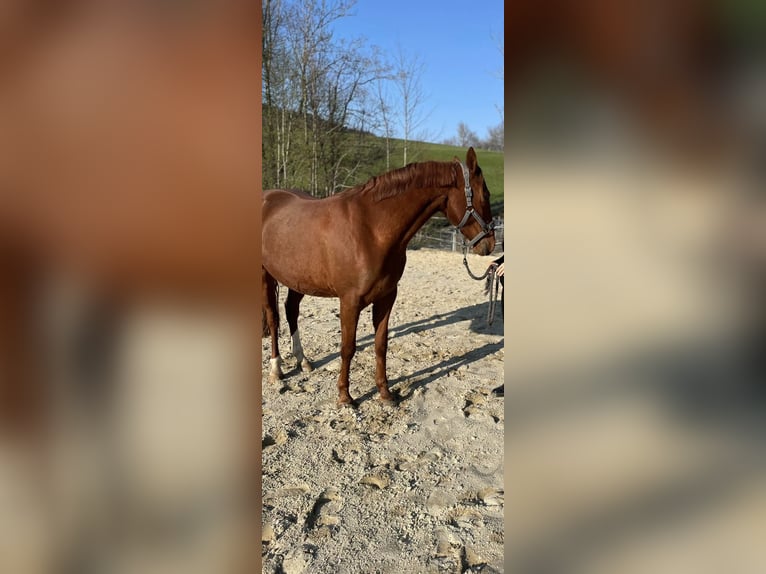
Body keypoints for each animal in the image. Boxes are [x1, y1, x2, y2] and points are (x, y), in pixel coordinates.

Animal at [261, 147, 496, 408]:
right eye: (485, 194)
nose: (489, 244)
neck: (371, 230)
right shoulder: (349, 302)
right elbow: (348, 347)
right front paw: (345, 395)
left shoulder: (386, 297)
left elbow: (381, 344)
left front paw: (385, 393)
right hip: (266, 276)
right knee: (273, 318)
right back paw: (276, 370)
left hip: (298, 279)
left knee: (291, 310)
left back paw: (303, 361)